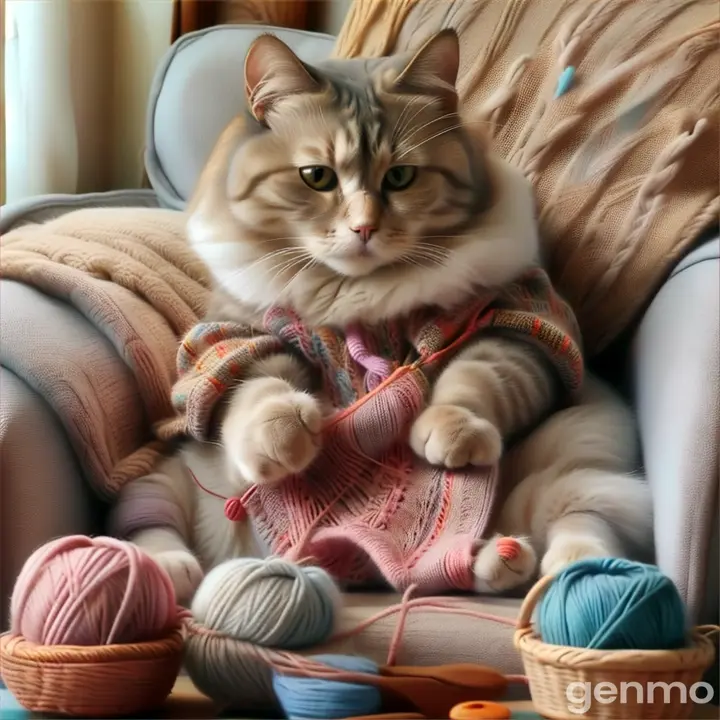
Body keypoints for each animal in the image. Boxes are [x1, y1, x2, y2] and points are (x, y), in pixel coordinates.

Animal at [114, 28, 652, 600]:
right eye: (316, 177)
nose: (364, 229)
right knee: (149, 523)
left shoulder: (522, 322)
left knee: (577, 518)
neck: (359, 296)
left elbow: (476, 379)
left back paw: (534, 564)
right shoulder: (237, 336)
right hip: (164, 479)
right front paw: (284, 432)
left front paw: (449, 431)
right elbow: (257, 389)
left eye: (400, 178)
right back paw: (165, 569)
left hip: (581, 443)